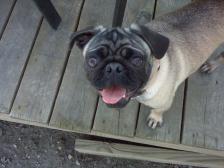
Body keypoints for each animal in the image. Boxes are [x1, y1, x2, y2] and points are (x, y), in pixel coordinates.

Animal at [71, 0, 224, 129]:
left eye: (137, 60)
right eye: (92, 61)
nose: (113, 67)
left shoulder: (165, 102)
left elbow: (158, 110)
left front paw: (155, 118)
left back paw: (212, 64)